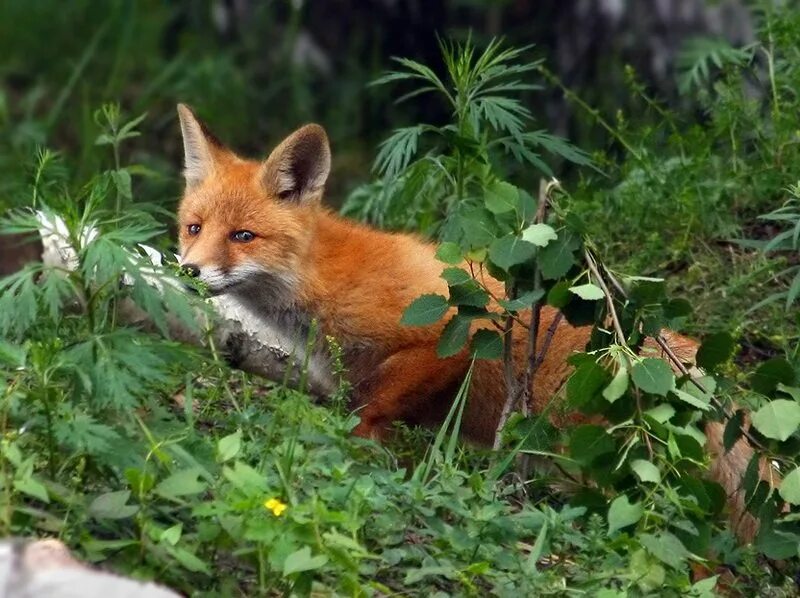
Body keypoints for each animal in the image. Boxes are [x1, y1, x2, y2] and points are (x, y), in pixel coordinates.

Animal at [178, 103, 772, 544]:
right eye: (194, 228)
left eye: (243, 237)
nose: (187, 271)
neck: (321, 285)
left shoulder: (449, 337)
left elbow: (368, 414)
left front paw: (361, 462)